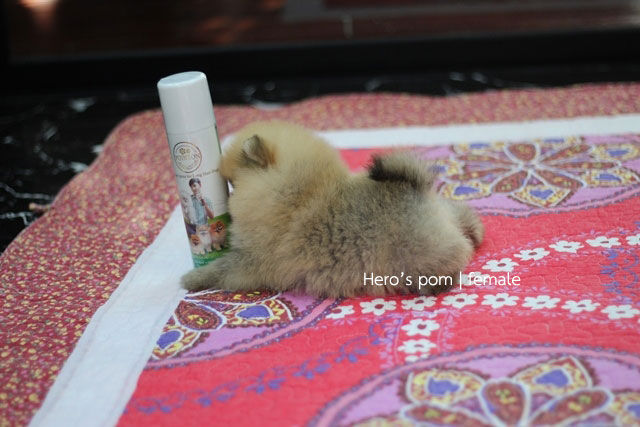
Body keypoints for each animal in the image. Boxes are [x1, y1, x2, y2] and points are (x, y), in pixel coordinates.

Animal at [181, 121, 484, 297]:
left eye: (232, 182)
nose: (227, 202)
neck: (298, 193)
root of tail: (414, 187)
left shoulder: (251, 260)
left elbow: (220, 269)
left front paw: (191, 277)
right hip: (440, 213)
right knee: (455, 212)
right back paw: (476, 230)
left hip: (417, 253)